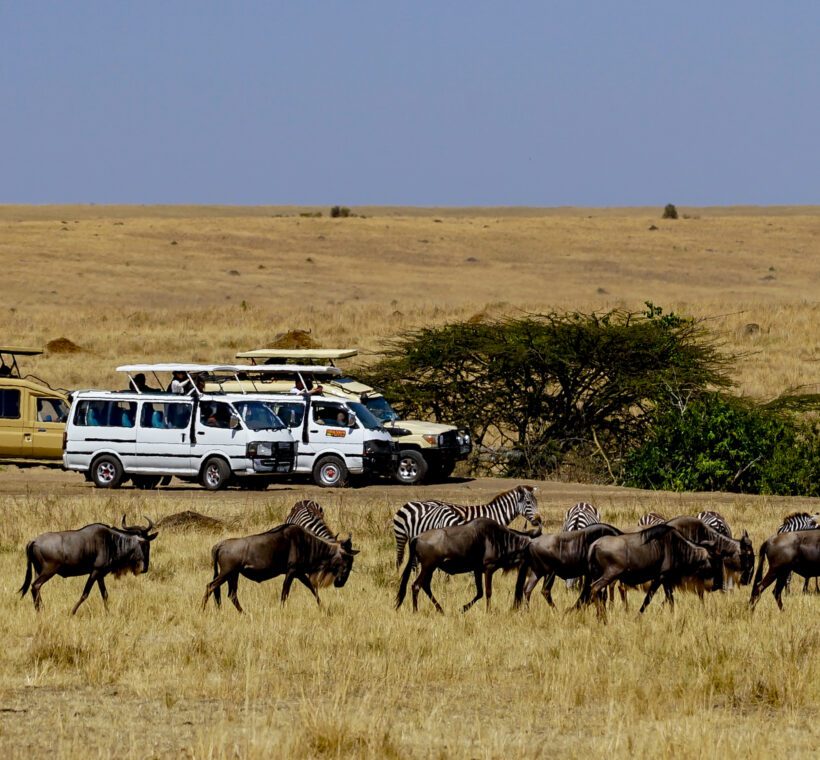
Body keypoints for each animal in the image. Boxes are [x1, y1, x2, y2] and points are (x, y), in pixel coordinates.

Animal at [390, 484, 540, 568]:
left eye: (536, 502)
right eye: (528, 502)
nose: (539, 520)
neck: (495, 513)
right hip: (403, 536)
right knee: (400, 559)